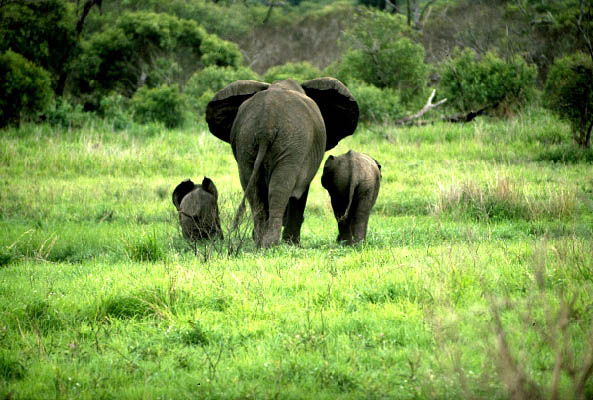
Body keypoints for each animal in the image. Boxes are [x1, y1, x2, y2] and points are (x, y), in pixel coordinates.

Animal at [206, 77, 358, 247]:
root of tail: (267, 122)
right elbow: (300, 192)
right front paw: (293, 243)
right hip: (292, 143)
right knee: (280, 187)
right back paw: (271, 244)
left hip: (246, 140)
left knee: (253, 187)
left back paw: (259, 243)